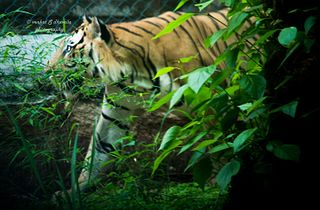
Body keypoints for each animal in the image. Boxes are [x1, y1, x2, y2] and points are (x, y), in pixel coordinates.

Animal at [45, 7, 255, 192]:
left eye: (69, 48)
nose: (47, 71)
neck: (130, 73)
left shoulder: (212, 100)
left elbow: (218, 142)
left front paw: (219, 182)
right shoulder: (115, 111)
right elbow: (100, 148)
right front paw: (75, 190)